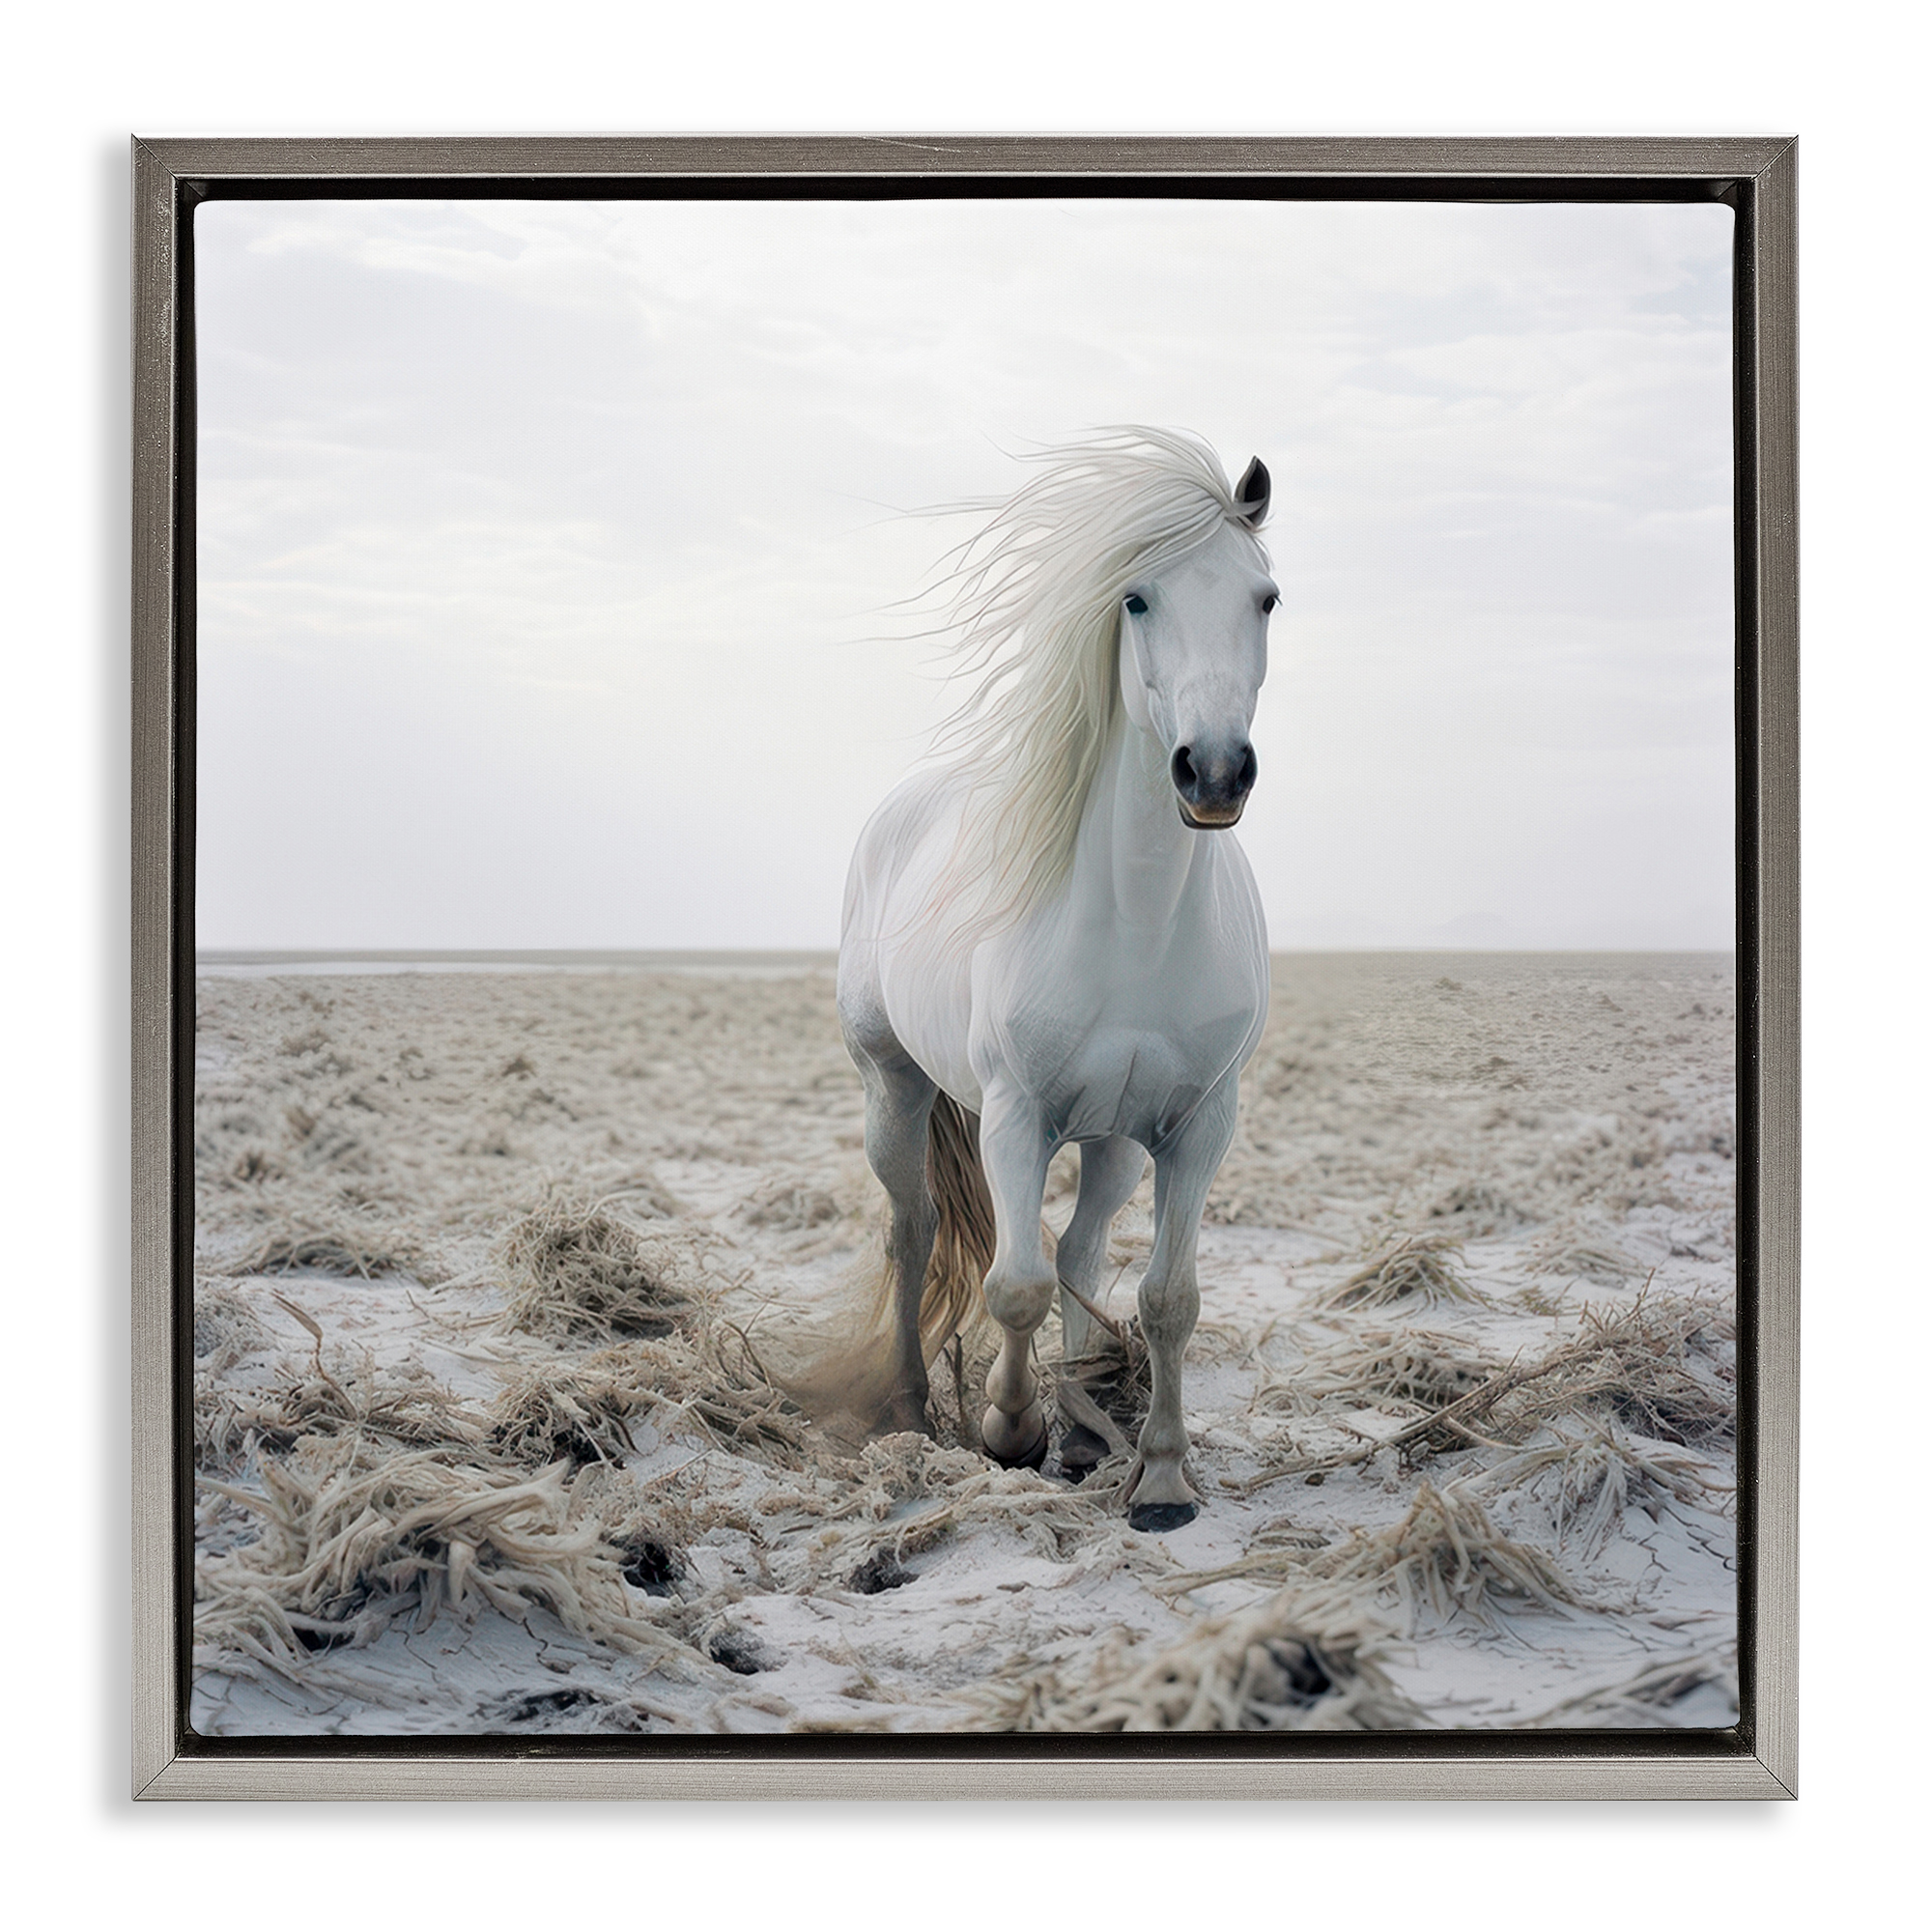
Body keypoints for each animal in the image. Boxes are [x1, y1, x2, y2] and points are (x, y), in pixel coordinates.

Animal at [835, 428, 1275, 1532]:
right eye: (1136, 599)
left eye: (1265, 597)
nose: (1214, 772)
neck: (1139, 921)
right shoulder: (1014, 1112)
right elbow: (1014, 1283)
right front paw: (1007, 1430)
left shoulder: (1198, 1124)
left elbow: (1166, 1297)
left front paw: (1158, 1474)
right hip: (893, 1087)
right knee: (915, 1234)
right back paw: (916, 1406)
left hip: (1114, 1136)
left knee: (1079, 1251)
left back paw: (1081, 1431)